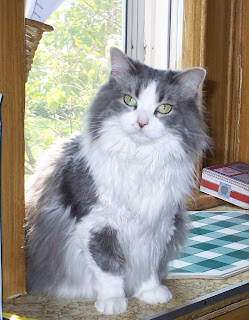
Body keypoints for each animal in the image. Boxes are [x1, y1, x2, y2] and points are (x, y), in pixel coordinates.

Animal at [24, 47, 208, 316]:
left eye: (164, 108)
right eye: (129, 101)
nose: (142, 122)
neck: (140, 160)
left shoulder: (157, 225)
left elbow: (148, 264)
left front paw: (150, 292)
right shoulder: (98, 225)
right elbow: (108, 268)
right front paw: (113, 301)